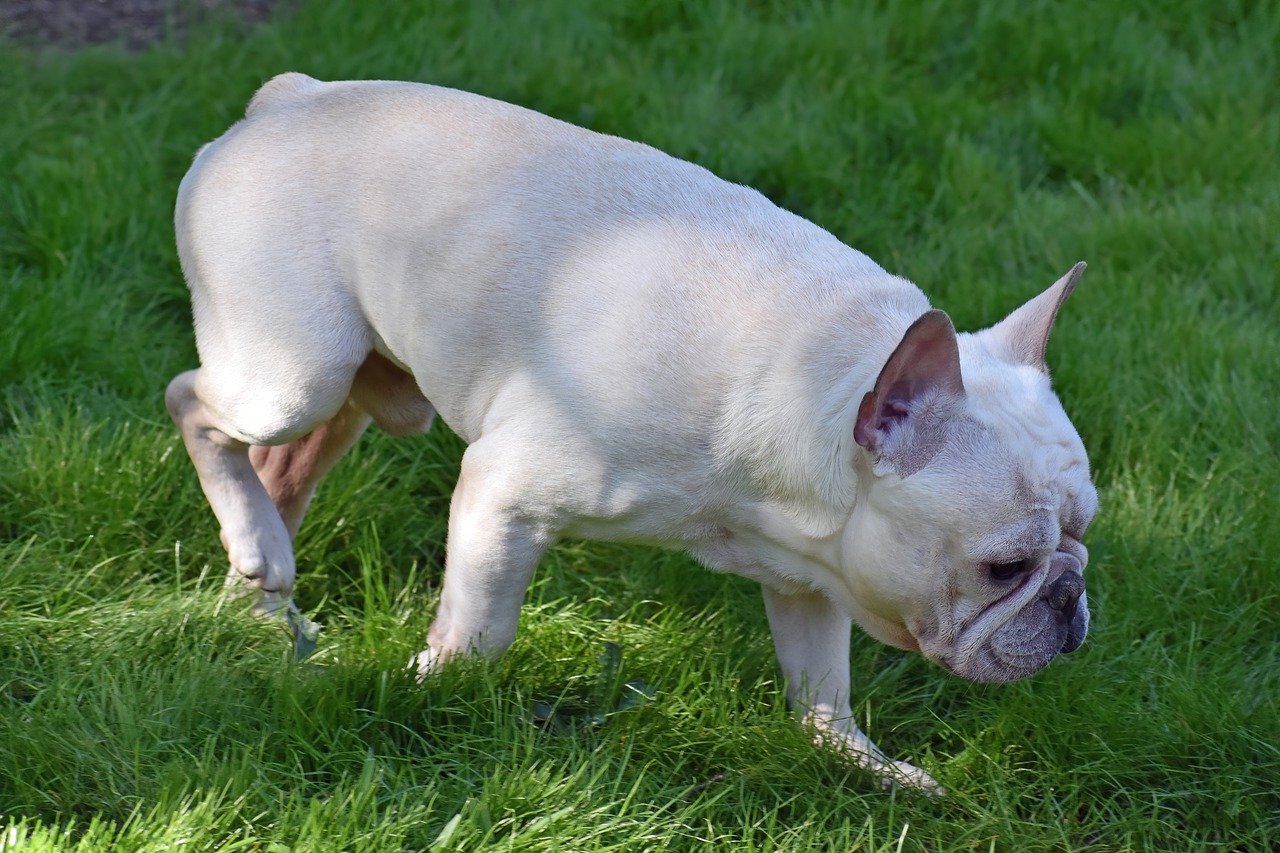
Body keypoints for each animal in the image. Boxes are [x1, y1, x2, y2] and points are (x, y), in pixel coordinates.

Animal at [165, 73, 1095, 788]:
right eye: (1003, 566)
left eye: (1082, 533)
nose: (1069, 593)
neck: (812, 384)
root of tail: (288, 99)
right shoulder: (505, 495)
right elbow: (481, 625)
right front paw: (438, 688)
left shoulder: (813, 576)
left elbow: (821, 686)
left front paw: (858, 761)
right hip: (296, 374)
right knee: (194, 402)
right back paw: (257, 547)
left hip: (360, 391)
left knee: (282, 468)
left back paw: (259, 588)